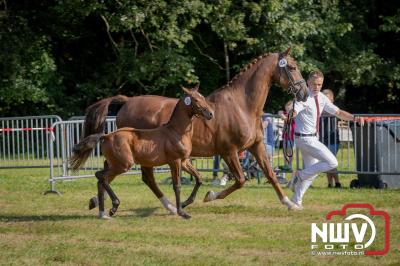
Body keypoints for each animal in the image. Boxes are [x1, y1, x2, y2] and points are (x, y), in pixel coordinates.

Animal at [69, 86, 212, 219]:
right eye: (196, 99)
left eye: (203, 97)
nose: (210, 114)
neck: (176, 131)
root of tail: (106, 136)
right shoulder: (174, 161)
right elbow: (177, 186)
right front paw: (182, 212)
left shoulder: (184, 161)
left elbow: (199, 178)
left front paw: (185, 203)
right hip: (123, 165)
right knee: (101, 176)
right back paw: (114, 206)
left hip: (115, 163)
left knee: (102, 178)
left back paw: (103, 213)